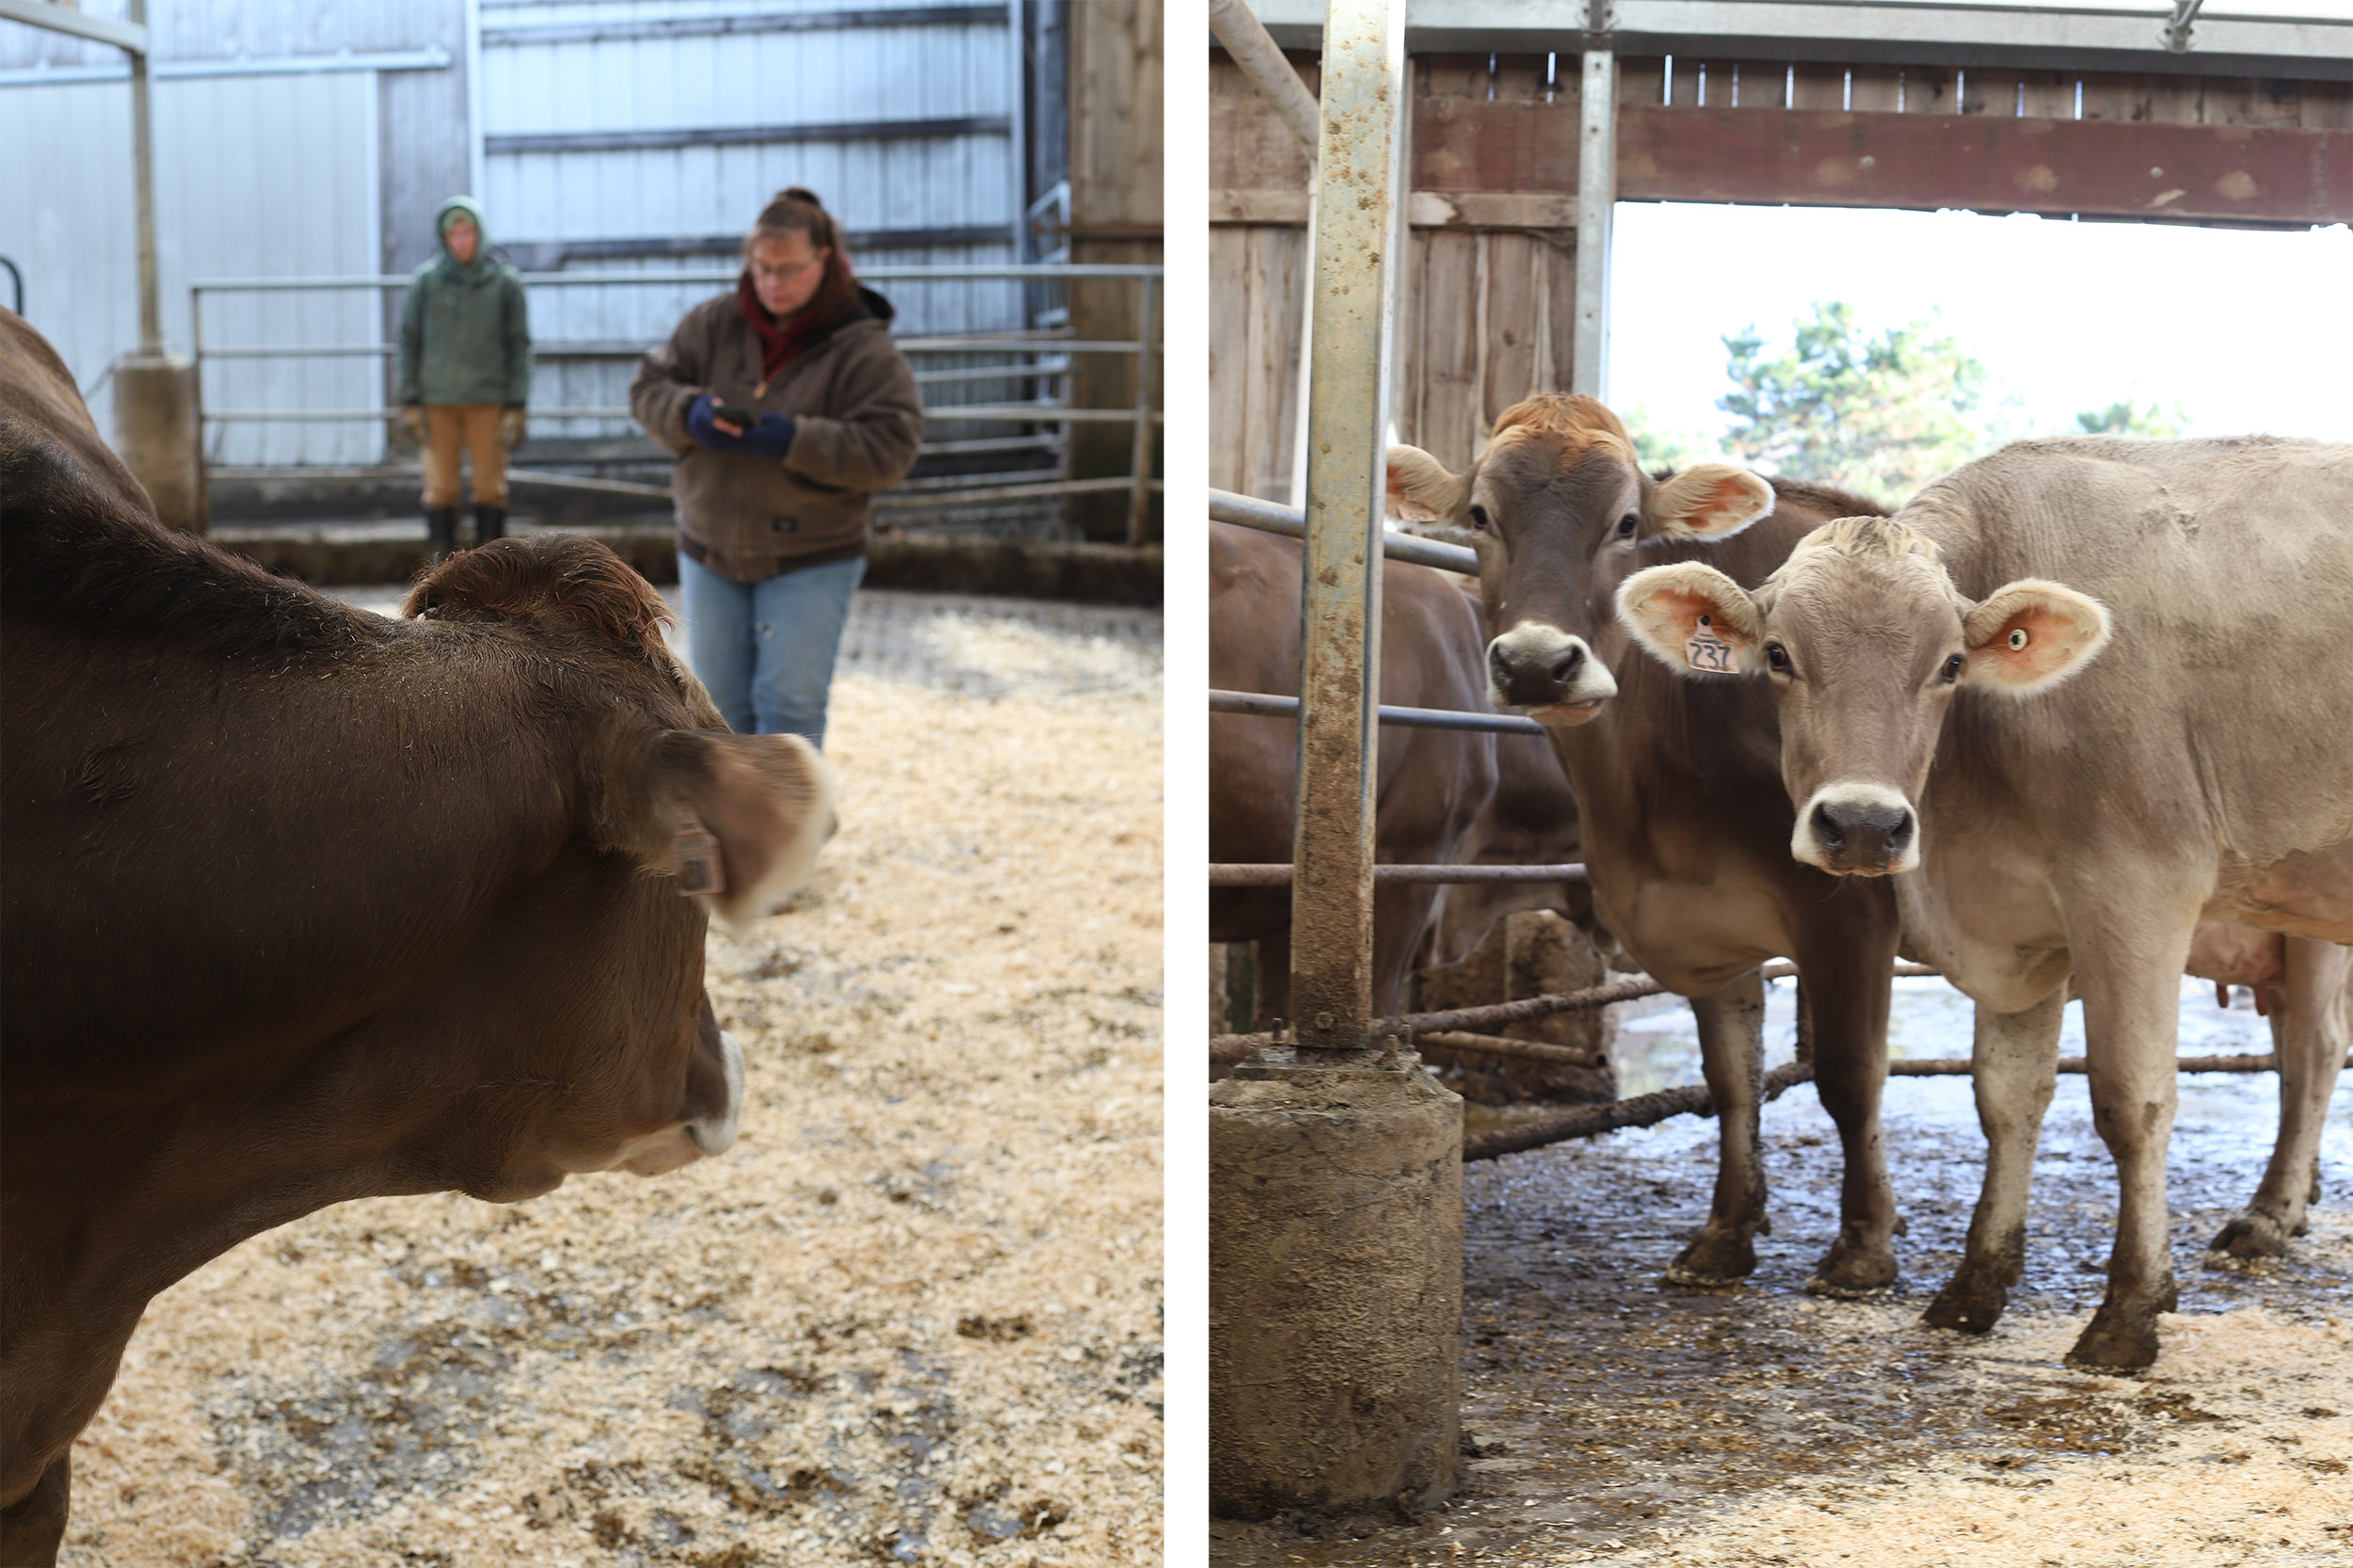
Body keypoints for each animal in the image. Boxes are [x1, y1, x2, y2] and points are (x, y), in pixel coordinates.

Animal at [1619, 433, 2353, 1365]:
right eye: (1779, 656)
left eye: (1950, 664)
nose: (1863, 825)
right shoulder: (2019, 918)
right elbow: (2005, 1099)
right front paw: (1975, 1285)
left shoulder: (2137, 891)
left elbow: (2133, 1099)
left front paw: (2129, 1311)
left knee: (2312, 1051)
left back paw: (2266, 1218)